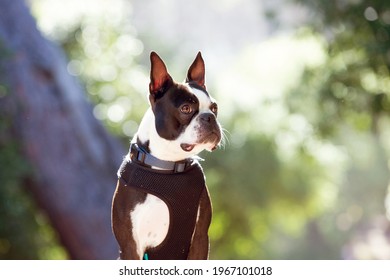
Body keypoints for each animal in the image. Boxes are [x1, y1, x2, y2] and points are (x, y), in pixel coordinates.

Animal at [112, 51, 222, 260]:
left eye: (214, 108)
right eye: (186, 108)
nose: (210, 118)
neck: (168, 166)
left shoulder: (200, 238)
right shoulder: (131, 245)